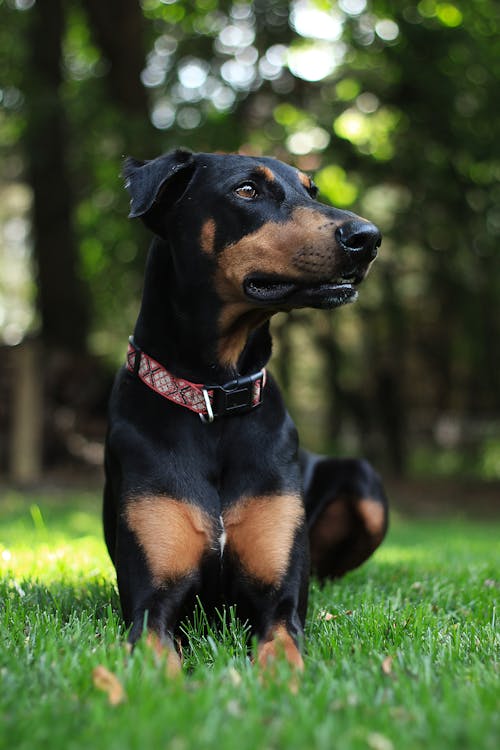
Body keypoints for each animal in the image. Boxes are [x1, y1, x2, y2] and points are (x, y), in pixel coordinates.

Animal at [103, 150, 388, 672]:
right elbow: (154, 657)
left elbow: (283, 650)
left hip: (366, 482)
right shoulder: (153, 600)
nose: (369, 237)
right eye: (247, 191)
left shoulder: (280, 601)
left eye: (312, 190)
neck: (215, 396)